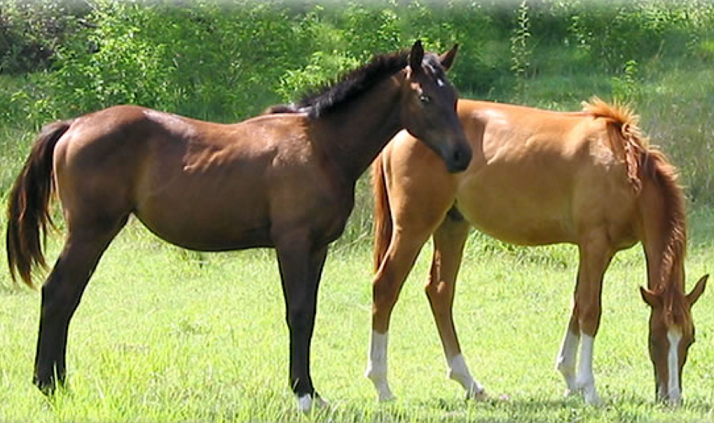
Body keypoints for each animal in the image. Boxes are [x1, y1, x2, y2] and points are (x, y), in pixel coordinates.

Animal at [6, 41, 472, 412]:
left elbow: (310, 312)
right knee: (58, 293)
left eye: (453, 97)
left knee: (67, 297)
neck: (321, 146)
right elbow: (298, 312)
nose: (462, 156)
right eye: (425, 97)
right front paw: (304, 394)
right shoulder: (293, 243)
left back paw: (57, 382)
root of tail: (73, 125)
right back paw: (49, 385)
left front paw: (313, 392)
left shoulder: (318, 248)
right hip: (91, 231)